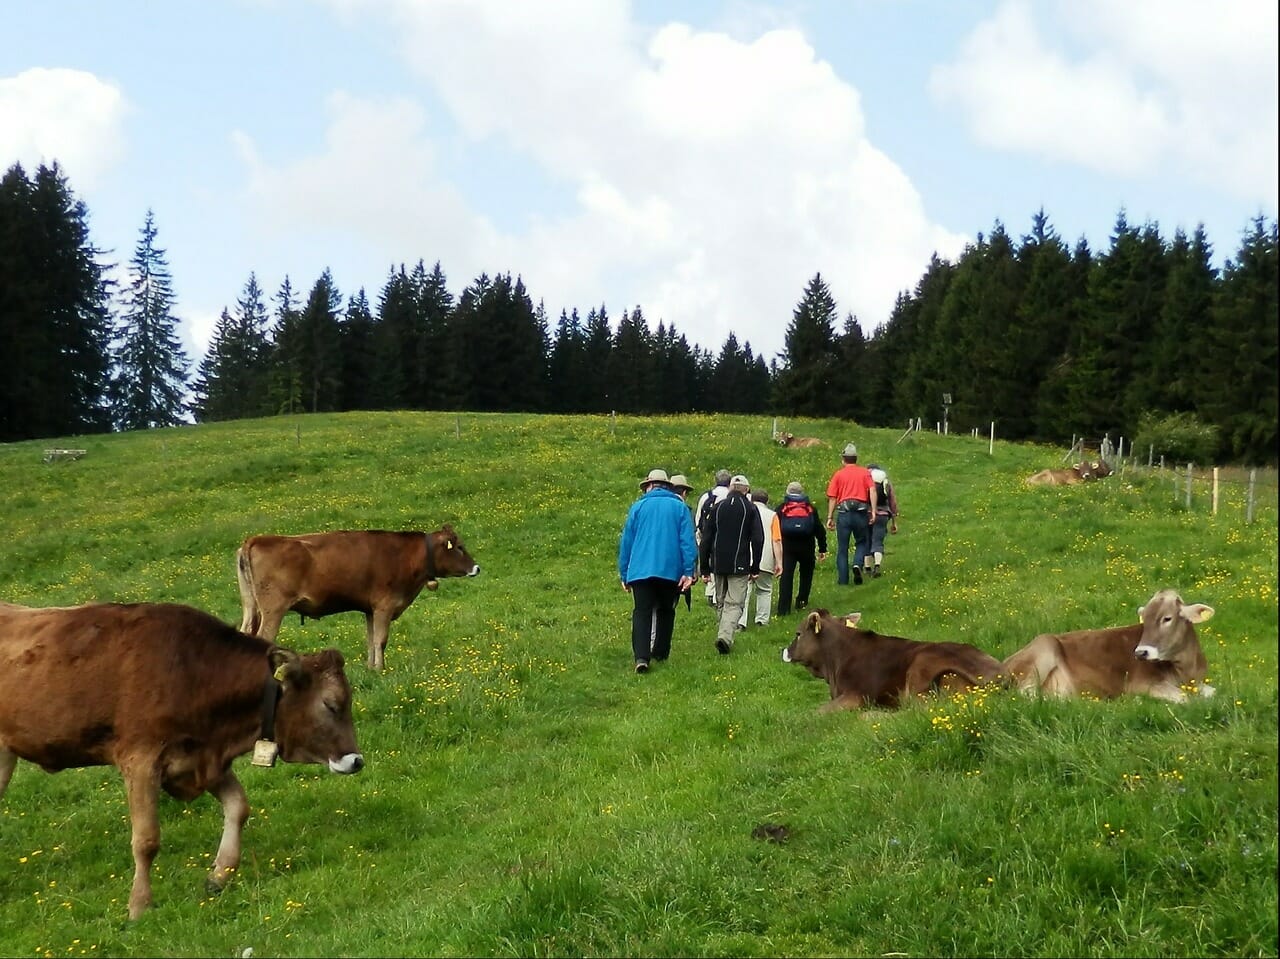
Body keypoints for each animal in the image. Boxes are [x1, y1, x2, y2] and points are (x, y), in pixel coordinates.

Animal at [0, 599, 363, 921]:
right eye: (331, 704)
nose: (356, 761)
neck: (193, 673)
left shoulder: (200, 760)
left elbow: (238, 807)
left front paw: (219, 875)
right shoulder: (141, 760)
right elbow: (146, 840)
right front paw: (139, 906)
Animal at [778, 606, 1008, 711]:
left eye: (798, 633)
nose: (786, 651)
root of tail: (999, 675)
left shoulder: (856, 696)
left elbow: (815, 713)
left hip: (919, 671)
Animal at [1003, 583, 1213, 701]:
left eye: (1167, 618)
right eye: (1144, 620)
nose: (1140, 653)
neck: (1186, 671)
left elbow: (1212, 693)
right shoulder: (1140, 685)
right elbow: (1186, 699)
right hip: (1043, 649)